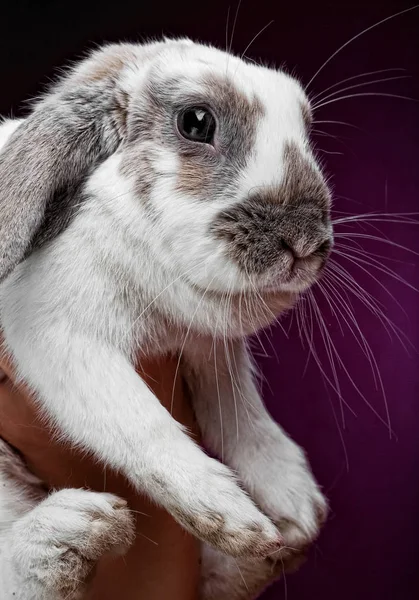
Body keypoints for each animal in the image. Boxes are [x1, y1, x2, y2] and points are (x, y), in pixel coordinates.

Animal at [0, 38, 332, 600]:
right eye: (196, 122)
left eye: (305, 126)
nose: (305, 240)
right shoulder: (56, 333)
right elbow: (138, 420)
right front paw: (228, 515)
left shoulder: (211, 351)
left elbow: (240, 411)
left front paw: (293, 498)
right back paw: (68, 537)